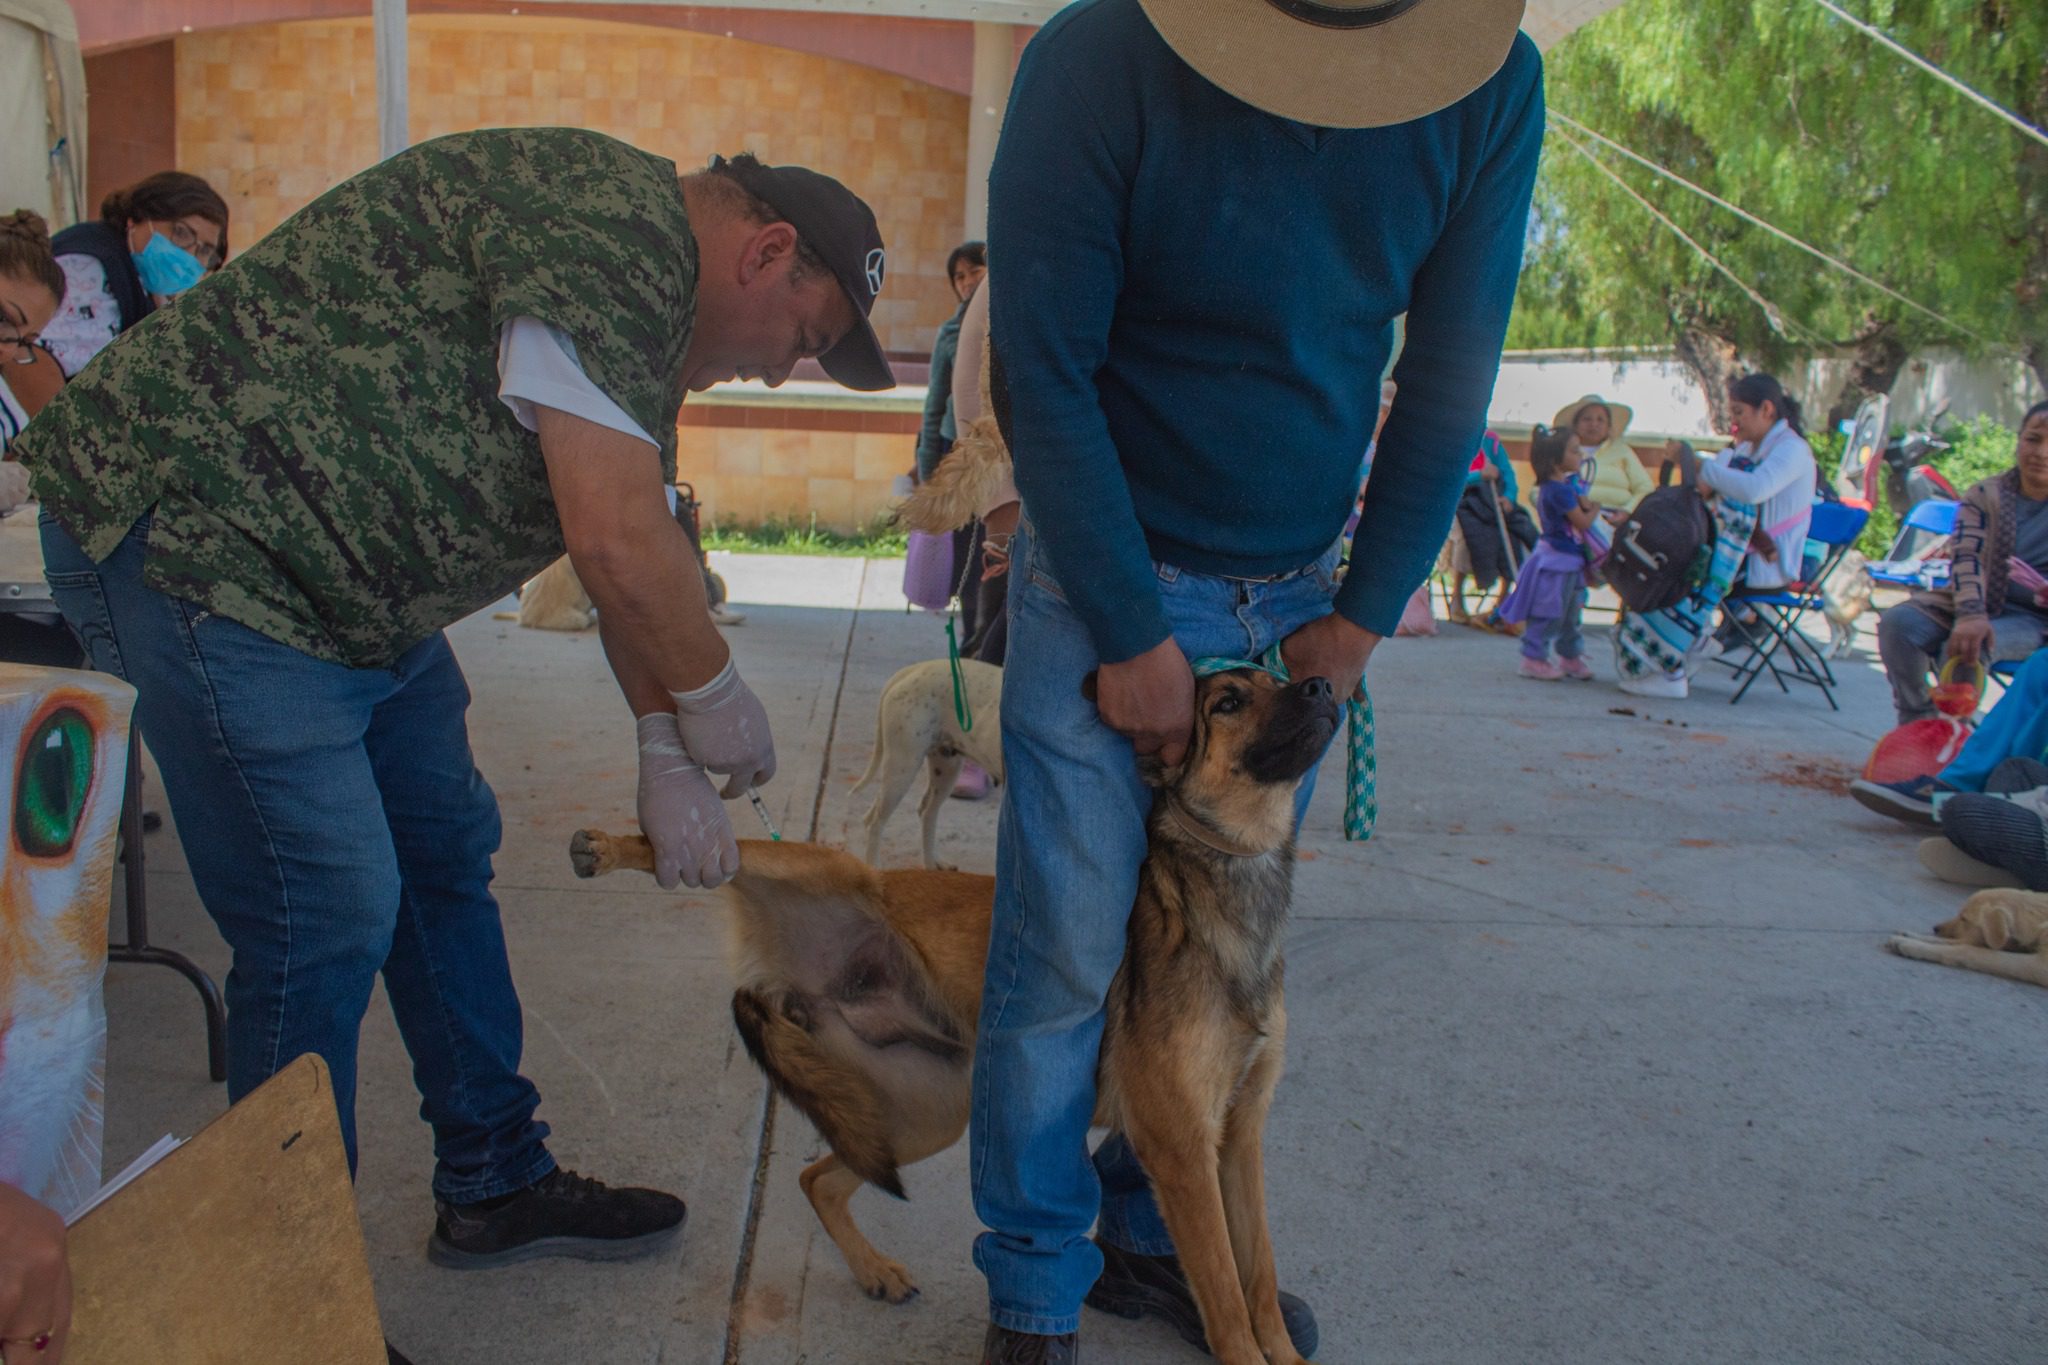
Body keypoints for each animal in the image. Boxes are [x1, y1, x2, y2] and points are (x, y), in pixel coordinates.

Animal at [851, 658, 1003, 871]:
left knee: (927, 812)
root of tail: (913, 669)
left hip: (946, 770)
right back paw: (875, 867)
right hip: (902, 766)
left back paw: (933, 862)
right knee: (876, 821)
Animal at [1884, 892, 2048, 986]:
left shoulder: (2040, 967)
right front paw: (1910, 936)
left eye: (1964, 919)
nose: (1936, 928)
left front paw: (1911, 945)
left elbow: (1968, 951)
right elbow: (1952, 943)